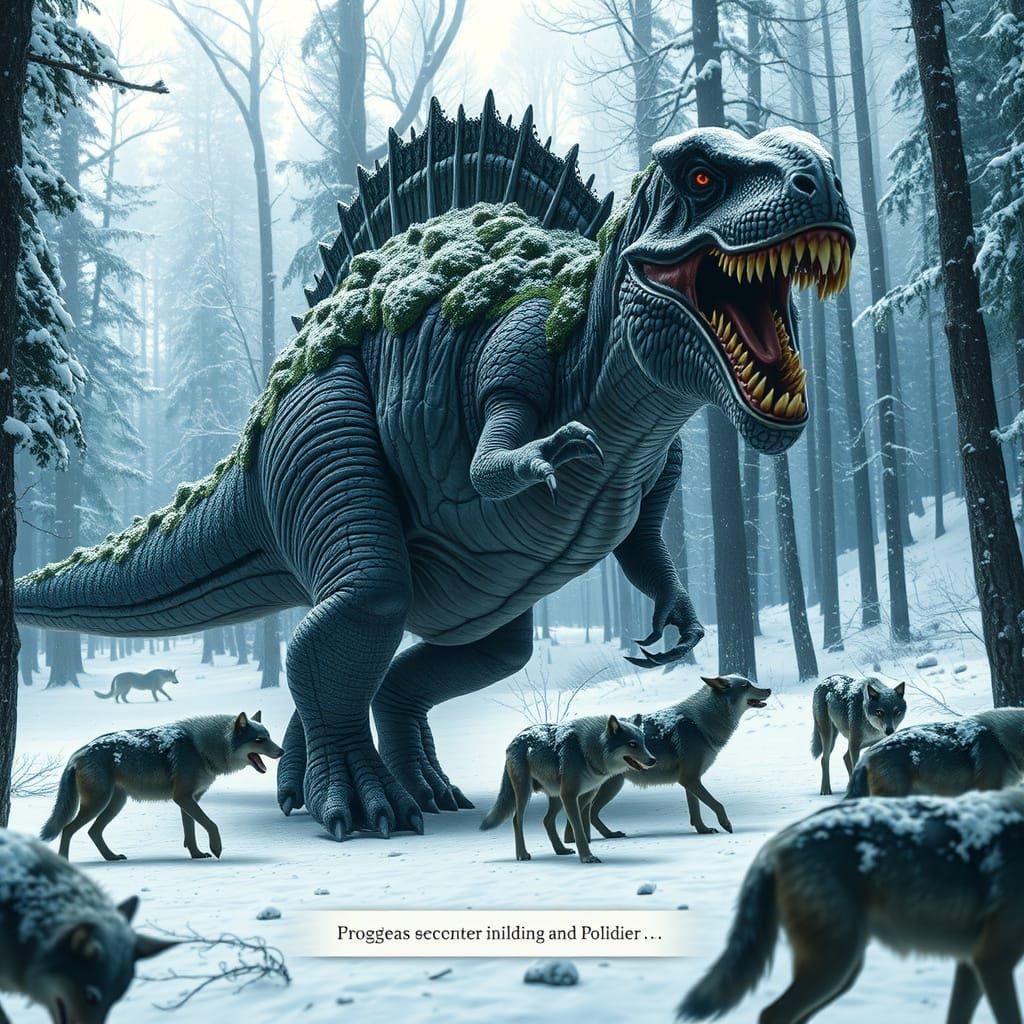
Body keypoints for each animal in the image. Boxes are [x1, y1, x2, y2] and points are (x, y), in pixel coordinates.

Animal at [40, 712, 282, 861]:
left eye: (268, 736)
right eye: (259, 740)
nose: (281, 751)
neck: (201, 749)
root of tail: (78, 752)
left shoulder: (189, 799)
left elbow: (191, 831)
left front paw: (196, 854)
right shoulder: (183, 798)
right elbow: (211, 824)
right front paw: (216, 848)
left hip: (114, 804)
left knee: (93, 831)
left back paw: (112, 857)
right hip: (98, 804)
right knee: (67, 829)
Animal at [480, 714, 656, 863]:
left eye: (643, 743)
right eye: (632, 744)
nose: (653, 760)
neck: (587, 752)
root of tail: (514, 740)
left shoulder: (586, 794)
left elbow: (579, 825)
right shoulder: (569, 795)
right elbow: (578, 830)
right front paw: (587, 857)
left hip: (556, 796)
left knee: (547, 820)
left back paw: (560, 850)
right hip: (525, 792)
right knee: (517, 819)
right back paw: (522, 855)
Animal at [565, 674, 771, 843]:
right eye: (746, 685)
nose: (769, 690)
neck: (700, 724)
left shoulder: (690, 780)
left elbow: (695, 810)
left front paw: (703, 830)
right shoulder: (689, 779)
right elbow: (717, 804)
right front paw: (726, 824)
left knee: (588, 813)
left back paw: (599, 837)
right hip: (611, 787)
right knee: (588, 812)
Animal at [678, 788, 1024, 1024]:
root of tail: (776, 843)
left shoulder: (970, 963)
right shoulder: (992, 961)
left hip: (843, 971)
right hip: (834, 967)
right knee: (771, 1013)